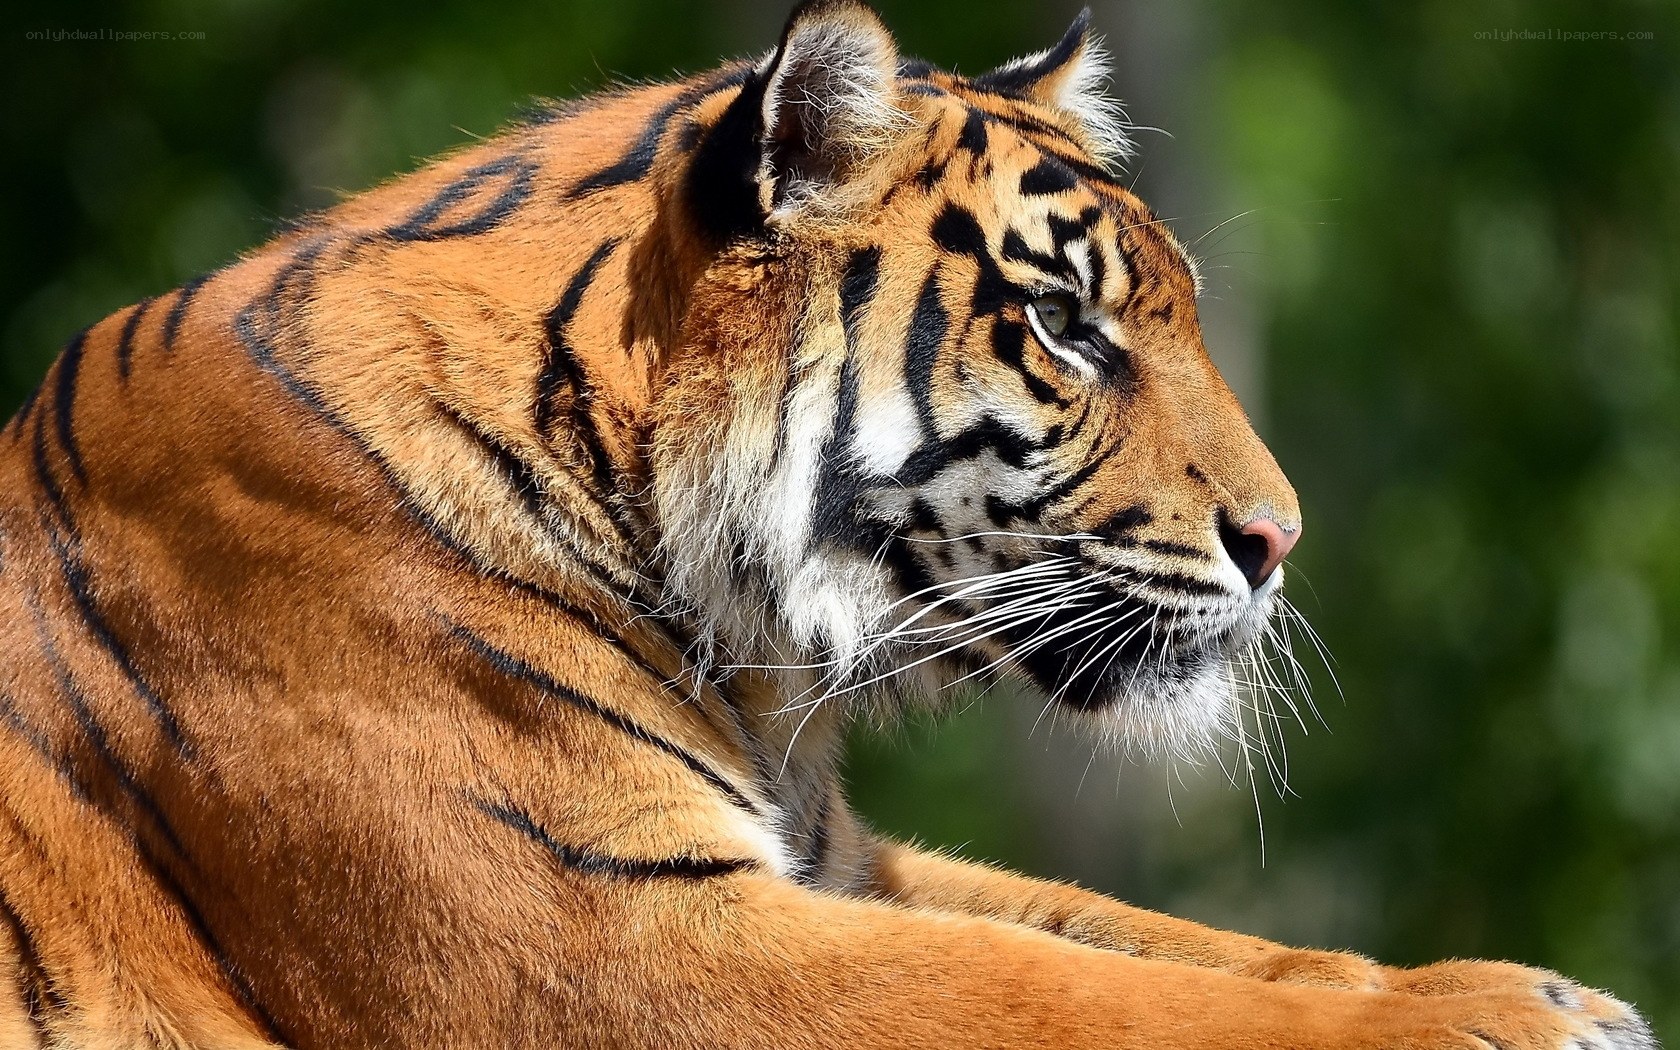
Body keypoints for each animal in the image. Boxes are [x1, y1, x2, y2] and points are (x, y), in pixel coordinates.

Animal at [0, 1, 1657, 1047]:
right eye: (1064, 324)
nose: (1279, 538)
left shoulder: (835, 864)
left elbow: (1169, 941)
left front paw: (1529, 987)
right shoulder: (612, 942)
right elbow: (1091, 998)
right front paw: (1500, 1018)